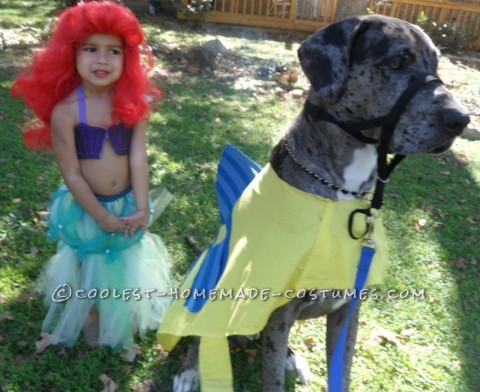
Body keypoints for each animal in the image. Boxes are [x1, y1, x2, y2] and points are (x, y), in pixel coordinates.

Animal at [157, 13, 468, 390]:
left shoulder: (346, 313)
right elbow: (271, 379)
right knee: (196, 332)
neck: (336, 193)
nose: (462, 119)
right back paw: (190, 370)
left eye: (435, 63)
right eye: (397, 62)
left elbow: (341, 373)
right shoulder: (278, 313)